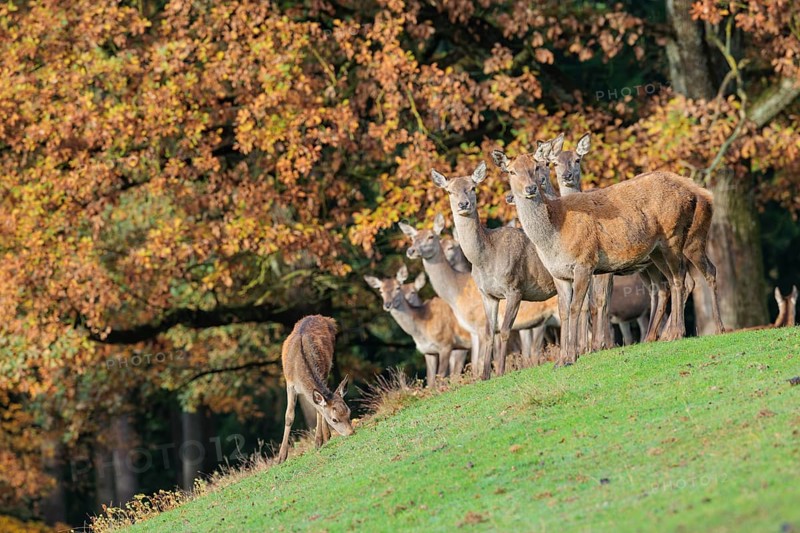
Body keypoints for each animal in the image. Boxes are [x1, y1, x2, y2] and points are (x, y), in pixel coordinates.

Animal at [277, 315, 353, 464]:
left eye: (349, 412)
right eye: (334, 419)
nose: (351, 433)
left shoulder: (323, 373)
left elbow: (319, 409)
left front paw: (318, 442)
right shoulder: (289, 384)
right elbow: (289, 416)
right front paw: (281, 457)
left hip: (329, 366)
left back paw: (326, 435)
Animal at [400, 214, 558, 376]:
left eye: (431, 237)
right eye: (413, 238)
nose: (411, 251)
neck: (457, 295)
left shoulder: (478, 326)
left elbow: (477, 361)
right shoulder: (474, 331)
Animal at [431, 161, 558, 379]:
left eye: (473, 187)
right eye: (449, 191)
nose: (463, 204)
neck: (485, 261)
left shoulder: (514, 288)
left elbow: (505, 330)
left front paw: (500, 371)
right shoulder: (487, 294)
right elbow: (490, 333)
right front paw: (484, 376)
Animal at [492, 143, 701, 365]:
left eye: (537, 167)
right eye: (511, 171)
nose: (530, 188)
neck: (553, 237)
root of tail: (691, 192)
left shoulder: (585, 262)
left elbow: (577, 307)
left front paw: (573, 356)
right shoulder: (558, 274)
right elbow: (564, 311)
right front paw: (560, 360)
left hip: (673, 235)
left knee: (680, 279)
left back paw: (676, 332)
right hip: (656, 253)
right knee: (668, 283)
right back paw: (663, 335)